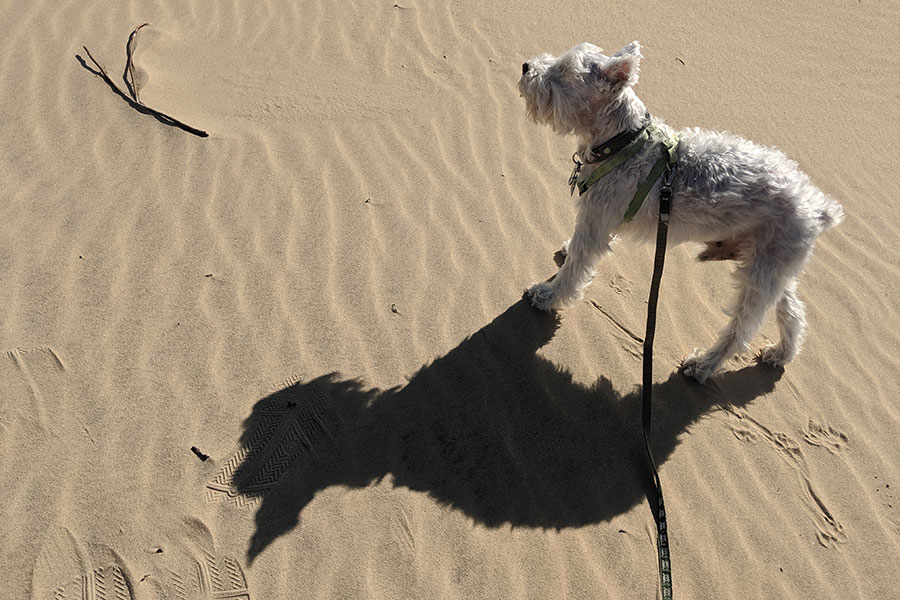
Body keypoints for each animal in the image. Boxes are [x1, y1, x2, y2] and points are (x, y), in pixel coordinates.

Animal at [520, 42, 844, 382]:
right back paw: (781, 353)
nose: (526, 67)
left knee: (742, 329)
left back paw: (704, 364)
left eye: (563, 71)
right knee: (793, 311)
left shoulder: (595, 222)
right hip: (773, 265)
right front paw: (565, 253)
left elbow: (575, 269)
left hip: (762, 272)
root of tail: (818, 207)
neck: (625, 141)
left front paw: (548, 295)